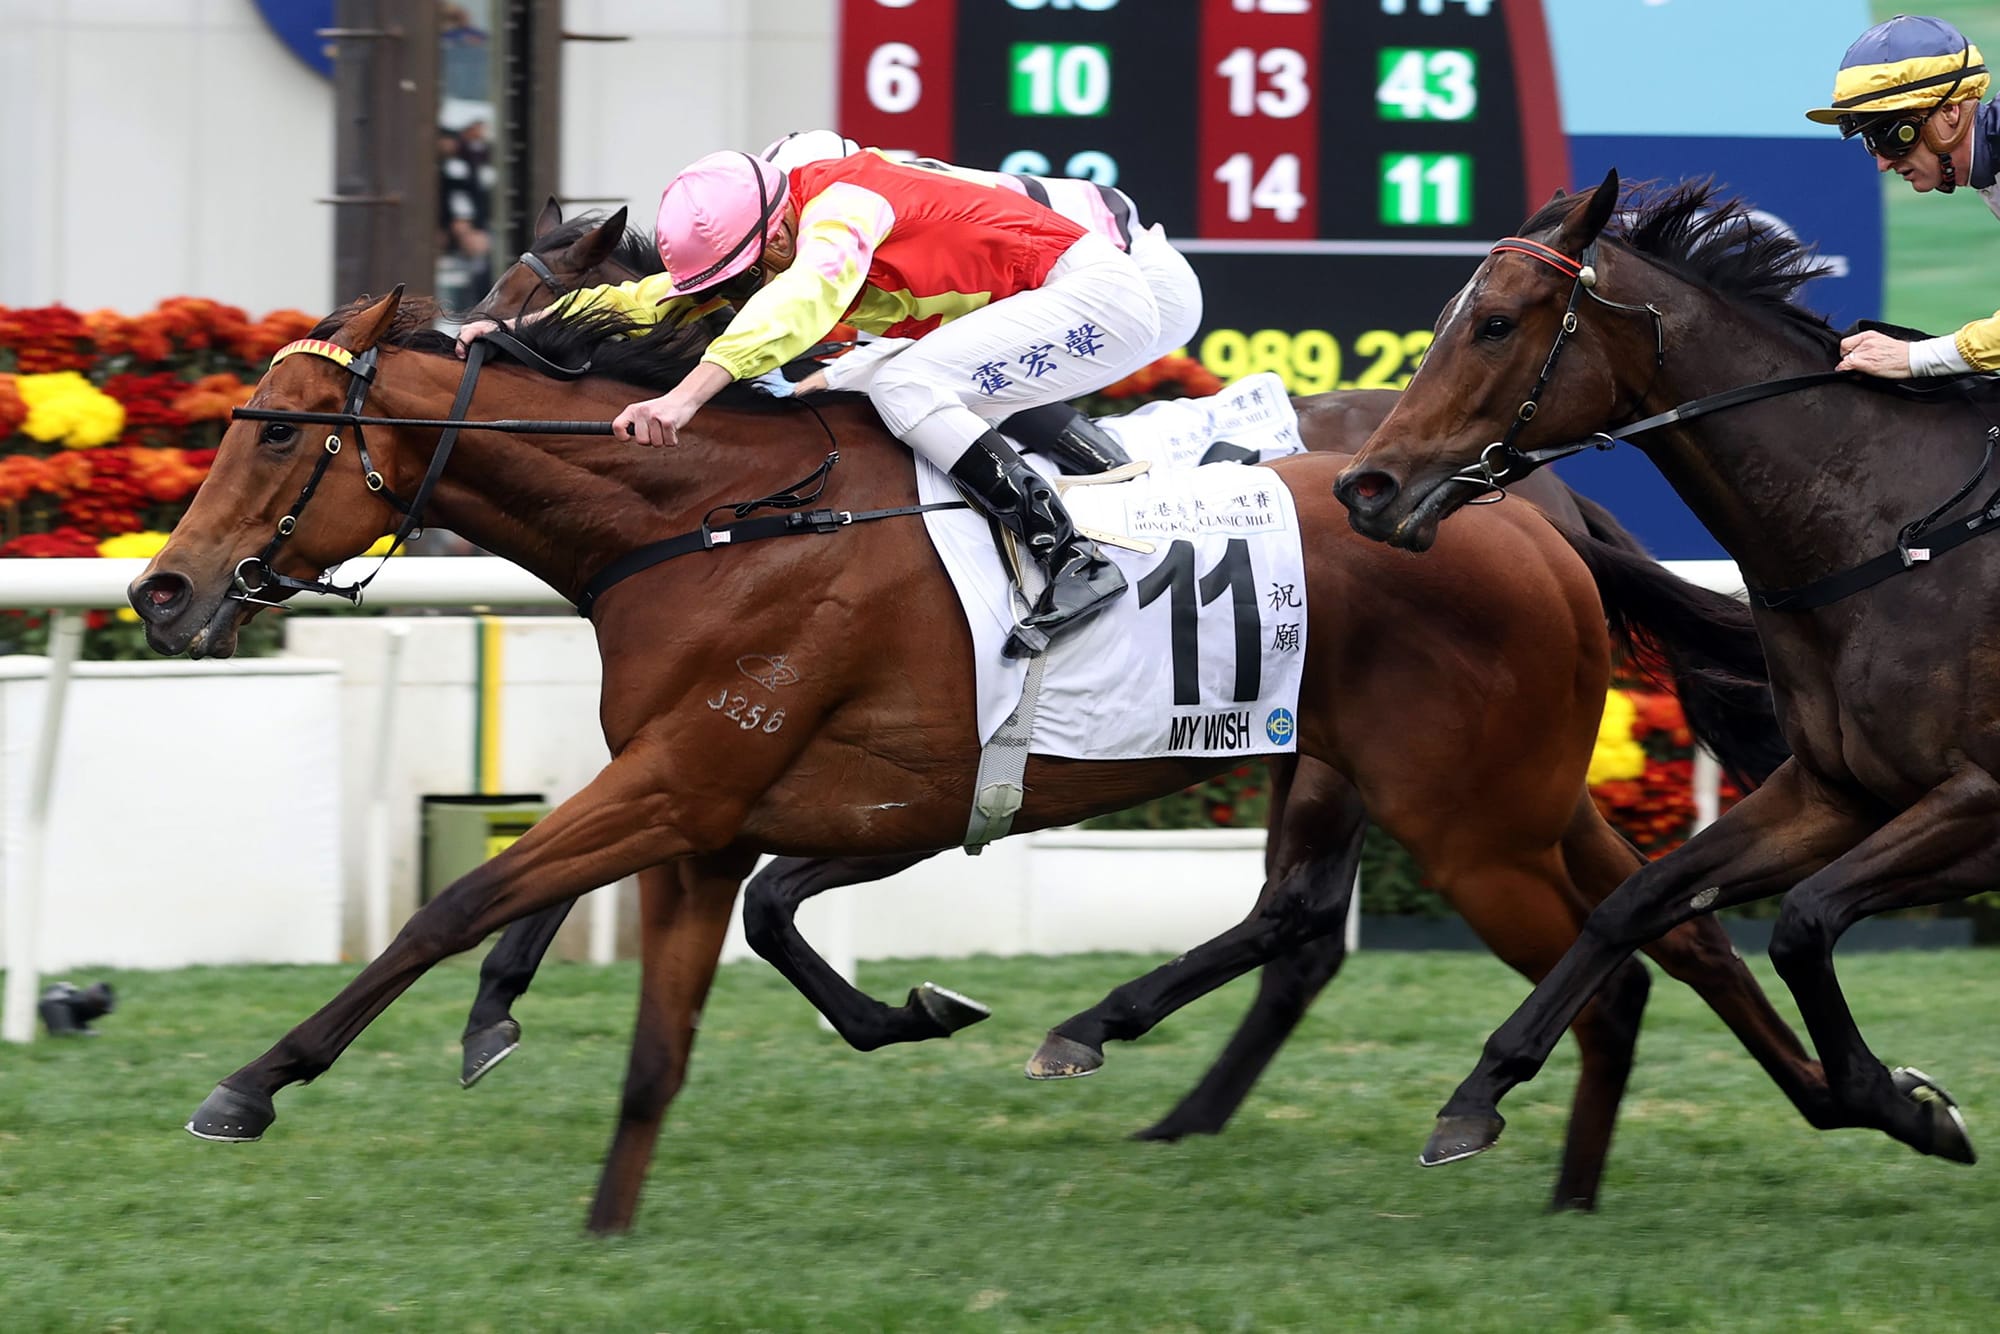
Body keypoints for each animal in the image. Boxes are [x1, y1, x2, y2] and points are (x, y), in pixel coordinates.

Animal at [130, 288, 1832, 1232]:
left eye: (274, 432)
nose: (163, 589)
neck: (728, 519)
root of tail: (1522, 510)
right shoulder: (805, 792)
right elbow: (745, 912)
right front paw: (910, 1008)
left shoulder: (699, 775)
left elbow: (463, 903)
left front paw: (256, 1081)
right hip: (1504, 799)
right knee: (1657, 926)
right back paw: (1832, 1104)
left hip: (1461, 812)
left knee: (1481, 940)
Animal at [1334, 171, 1986, 1180]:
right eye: (1446, 318)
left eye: (1496, 323)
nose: (1366, 489)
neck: (1895, 534)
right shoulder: (1835, 791)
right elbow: (1639, 902)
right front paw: (1477, 1094)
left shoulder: (1980, 801)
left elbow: (1801, 922)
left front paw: (1895, 1100)